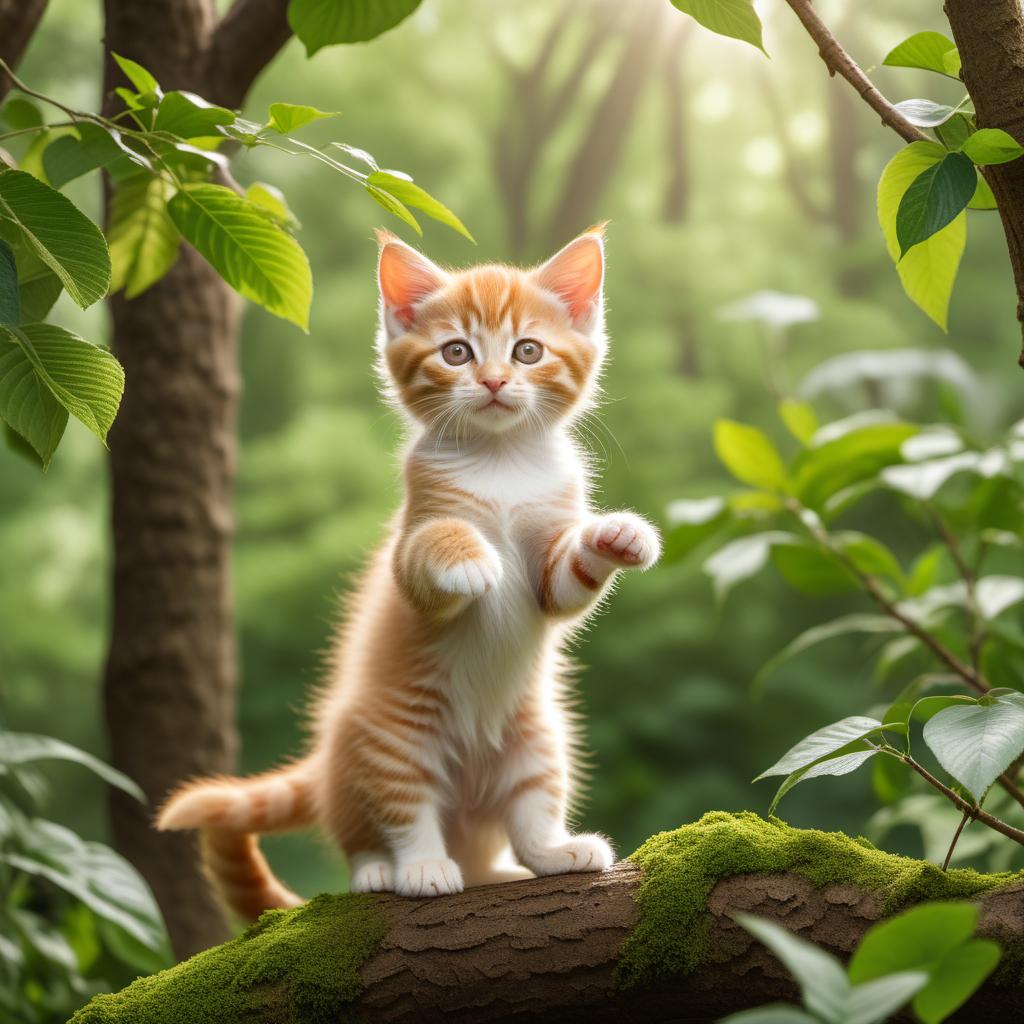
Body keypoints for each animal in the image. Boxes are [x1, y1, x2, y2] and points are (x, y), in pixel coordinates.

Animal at [155, 226, 659, 913]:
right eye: (456, 352)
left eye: (527, 351)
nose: (494, 381)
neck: (501, 462)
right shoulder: (412, 537)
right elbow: (431, 550)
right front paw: (470, 561)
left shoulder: (550, 562)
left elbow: (563, 583)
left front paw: (618, 534)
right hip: (392, 738)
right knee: (391, 818)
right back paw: (405, 869)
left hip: (538, 738)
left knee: (527, 813)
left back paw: (544, 855)